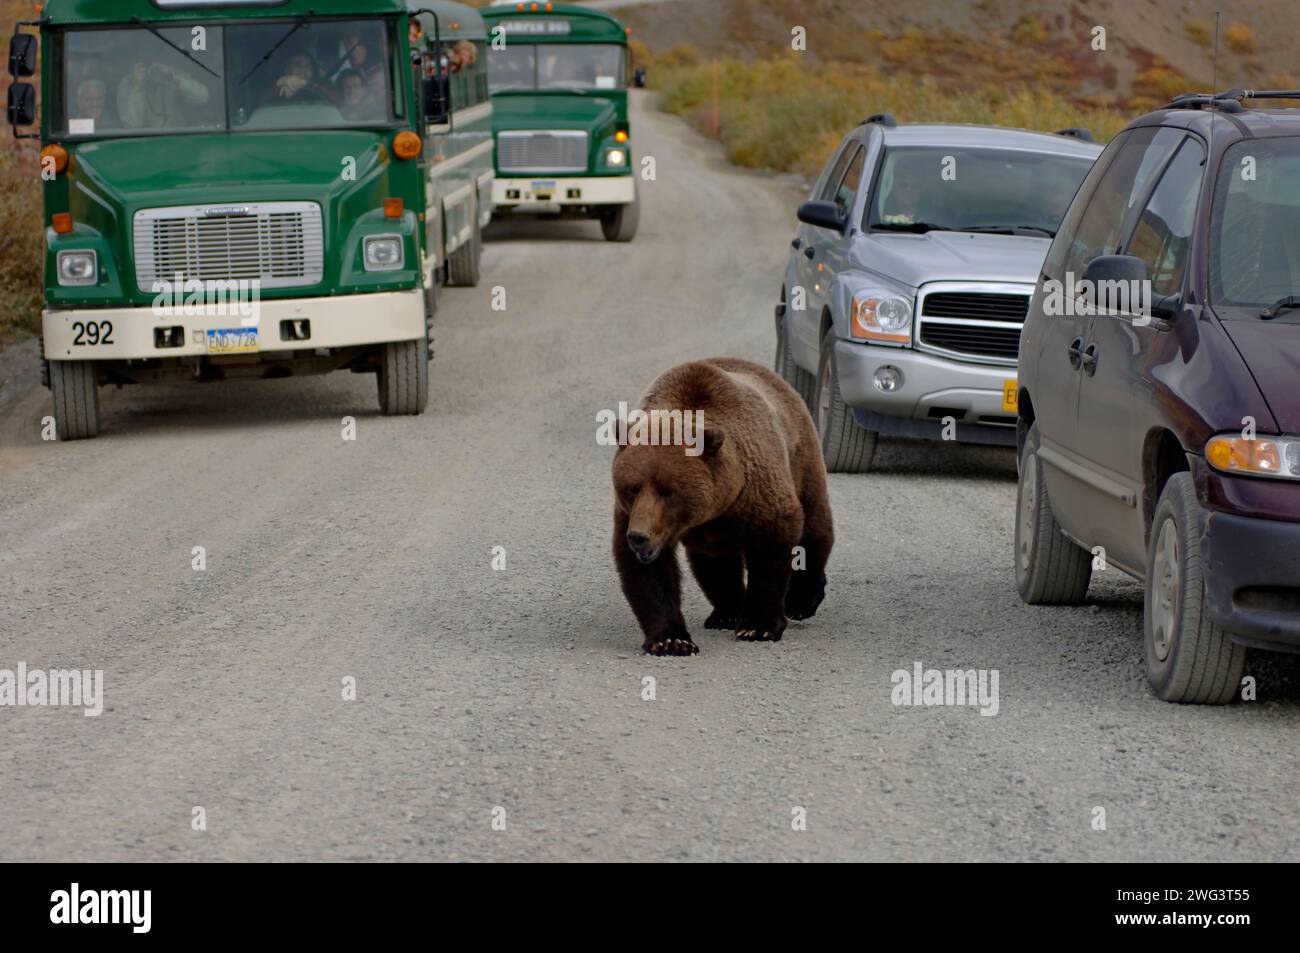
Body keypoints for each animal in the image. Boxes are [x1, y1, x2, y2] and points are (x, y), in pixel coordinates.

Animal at [608, 356, 832, 655]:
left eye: (668, 491)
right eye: (632, 487)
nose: (639, 537)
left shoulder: (757, 492)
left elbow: (772, 548)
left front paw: (758, 627)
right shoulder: (632, 515)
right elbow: (650, 575)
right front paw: (672, 640)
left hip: (803, 460)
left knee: (813, 527)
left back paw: (801, 600)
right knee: (715, 565)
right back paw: (725, 613)